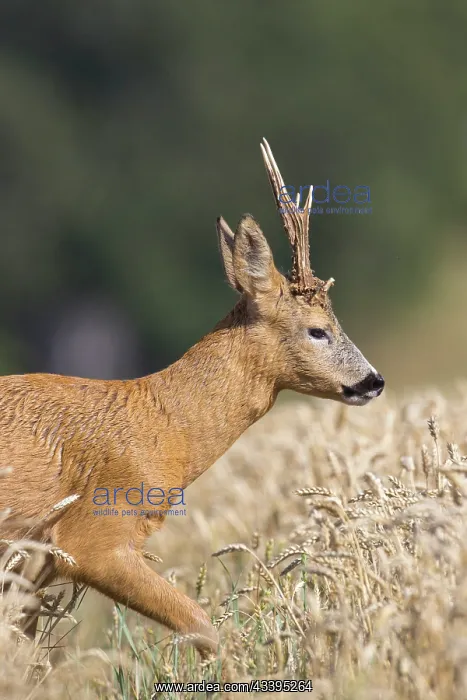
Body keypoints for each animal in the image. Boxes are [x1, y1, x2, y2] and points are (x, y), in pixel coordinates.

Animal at [0, 139, 384, 658]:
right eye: (318, 330)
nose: (373, 381)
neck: (162, 425)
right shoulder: (90, 534)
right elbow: (204, 625)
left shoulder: (36, 559)